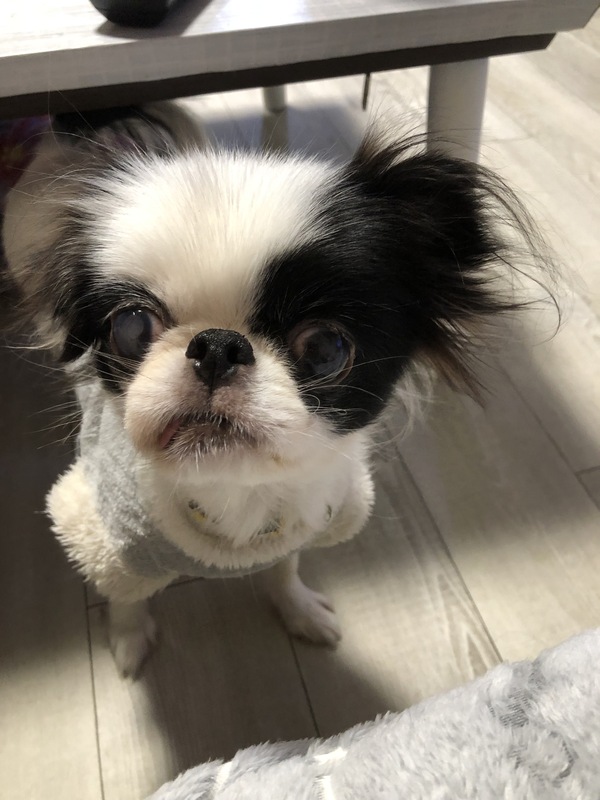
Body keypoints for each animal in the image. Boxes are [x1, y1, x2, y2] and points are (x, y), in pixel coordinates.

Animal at [1, 102, 545, 677]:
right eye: (131, 327)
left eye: (327, 347)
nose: (217, 345)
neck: (234, 495)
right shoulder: (108, 542)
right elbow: (127, 595)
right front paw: (128, 641)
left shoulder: (301, 526)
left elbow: (285, 571)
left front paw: (299, 611)